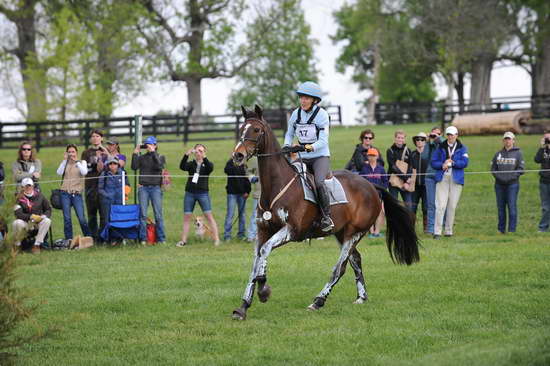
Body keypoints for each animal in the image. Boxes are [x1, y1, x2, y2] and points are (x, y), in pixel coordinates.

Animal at [231, 104, 420, 318]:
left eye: (256, 130)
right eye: (242, 129)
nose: (237, 156)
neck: (275, 187)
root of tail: (371, 186)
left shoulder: (291, 231)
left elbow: (264, 252)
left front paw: (263, 289)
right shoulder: (263, 230)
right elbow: (256, 262)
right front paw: (243, 306)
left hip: (354, 233)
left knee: (340, 268)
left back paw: (318, 301)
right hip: (341, 233)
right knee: (356, 259)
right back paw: (361, 297)